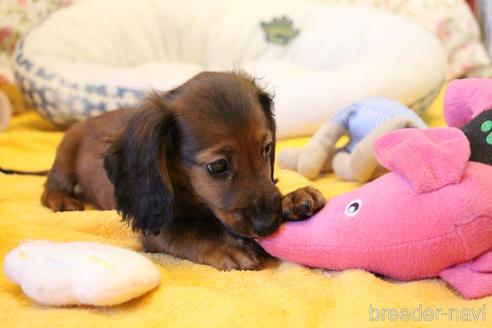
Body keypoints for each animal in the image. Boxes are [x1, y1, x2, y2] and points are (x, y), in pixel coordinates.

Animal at [42, 73, 324, 270]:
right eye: (217, 165)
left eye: (266, 149)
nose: (268, 224)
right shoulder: (154, 230)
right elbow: (186, 233)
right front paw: (224, 246)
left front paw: (293, 198)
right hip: (66, 152)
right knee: (50, 187)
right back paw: (62, 199)